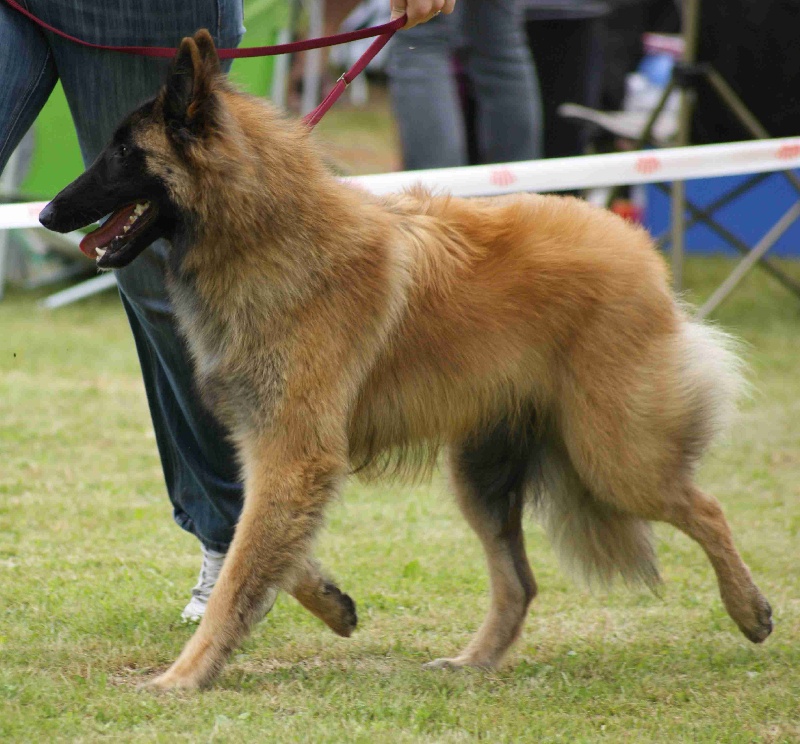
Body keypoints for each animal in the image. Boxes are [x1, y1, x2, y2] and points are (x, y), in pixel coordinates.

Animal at [40, 30, 772, 692]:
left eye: (124, 151)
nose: (45, 213)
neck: (265, 230)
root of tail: (636, 246)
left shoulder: (296, 451)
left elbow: (242, 572)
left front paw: (184, 675)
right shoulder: (274, 449)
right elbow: (259, 543)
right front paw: (329, 601)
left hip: (612, 456)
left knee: (706, 508)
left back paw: (749, 610)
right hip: (482, 474)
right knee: (520, 584)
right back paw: (473, 663)